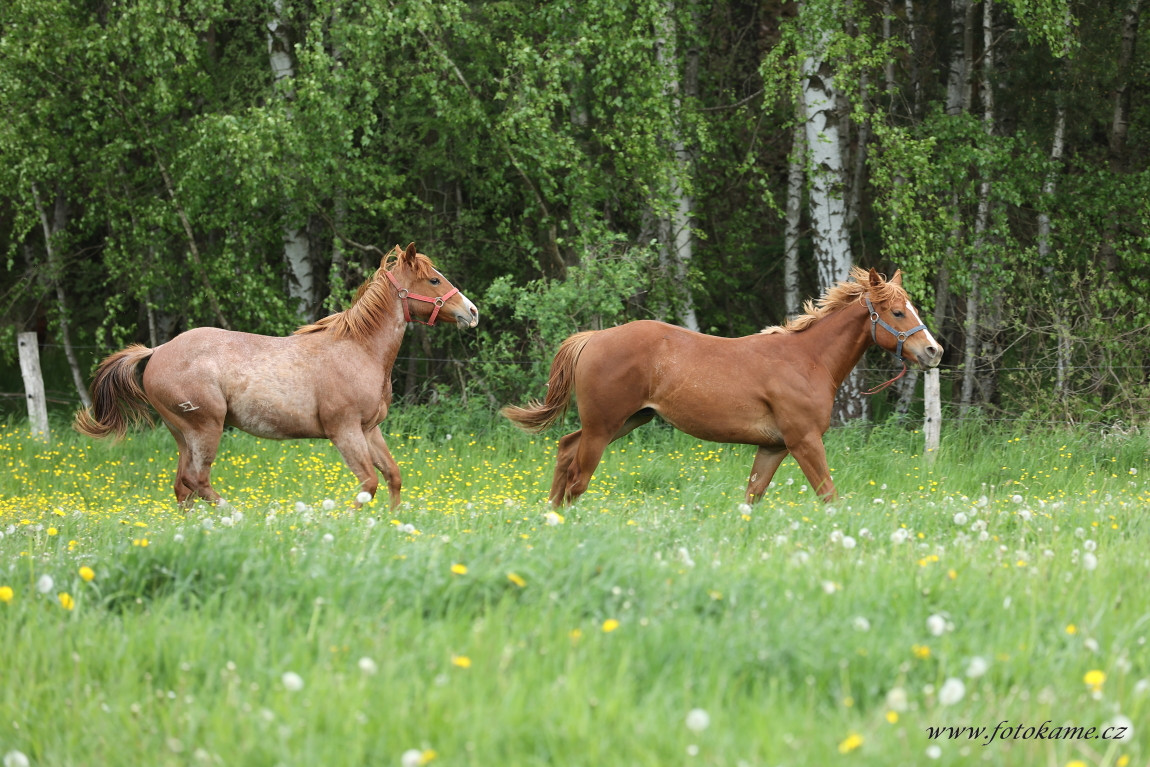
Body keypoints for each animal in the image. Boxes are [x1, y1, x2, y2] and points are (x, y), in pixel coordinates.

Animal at [75, 244, 480, 510]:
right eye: (434, 279)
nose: (472, 312)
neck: (359, 351)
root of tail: (156, 351)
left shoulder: (369, 429)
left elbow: (392, 476)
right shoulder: (344, 431)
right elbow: (368, 483)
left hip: (182, 434)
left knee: (182, 486)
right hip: (205, 428)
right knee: (197, 481)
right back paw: (235, 515)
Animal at [503, 266, 943, 505]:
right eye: (898, 312)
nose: (933, 351)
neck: (807, 359)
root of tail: (592, 338)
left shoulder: (773, 447)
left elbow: (752, 497)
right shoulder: (804, 441)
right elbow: (829, 494)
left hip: (626, 420)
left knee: (565, 450)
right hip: (604, 425)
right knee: (578, 478)